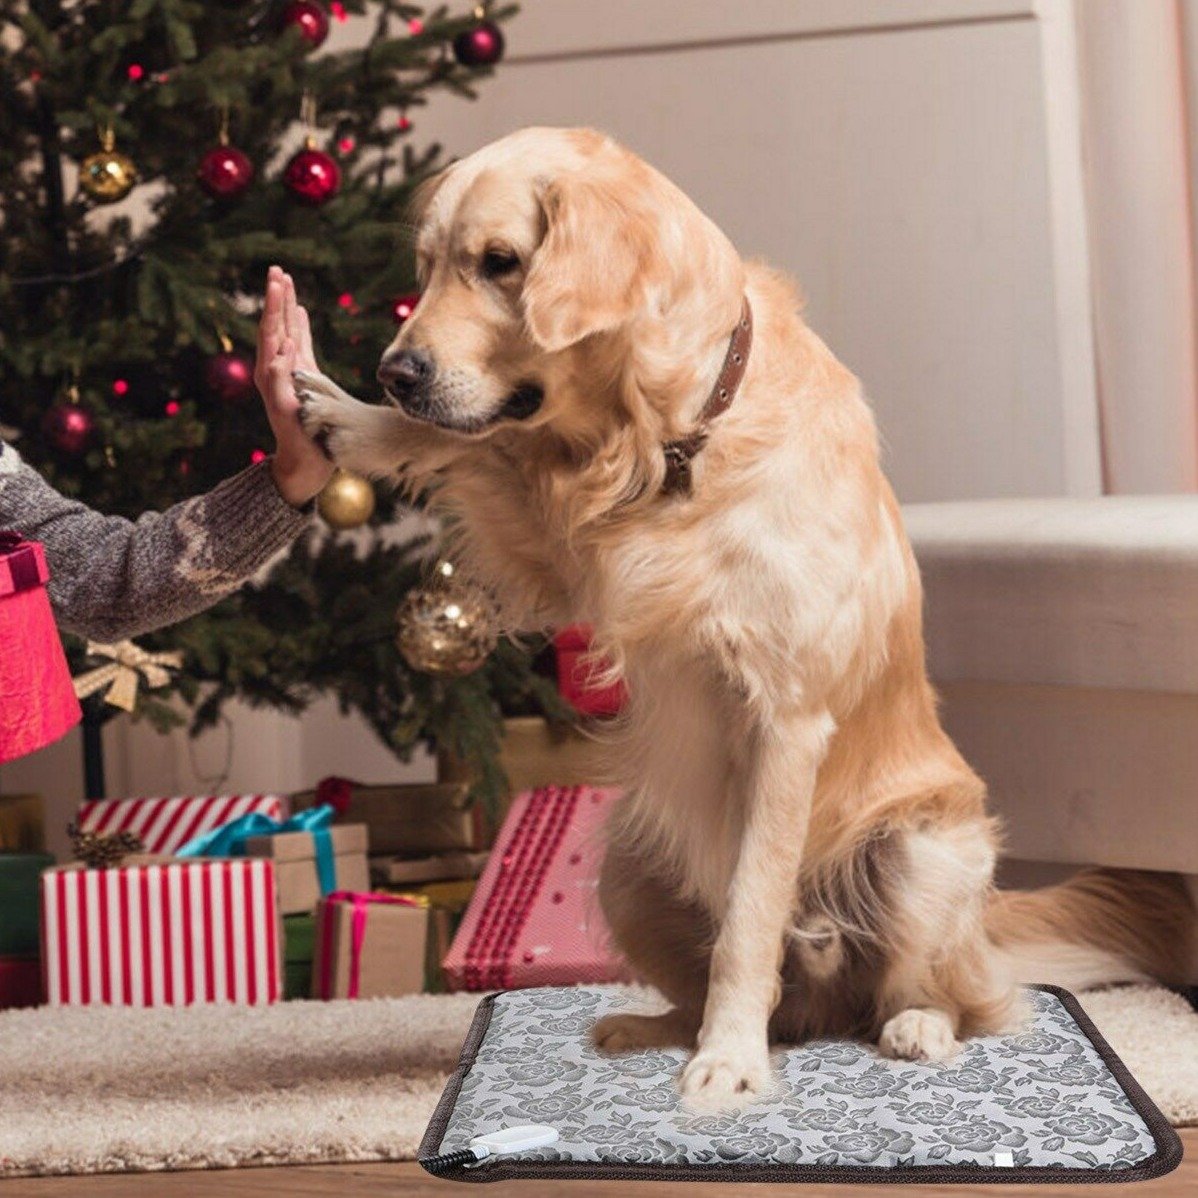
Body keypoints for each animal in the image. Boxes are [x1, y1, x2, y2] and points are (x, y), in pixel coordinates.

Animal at [294, 126, 1193, 1106]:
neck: (675, 437)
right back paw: (644, 1026)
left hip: (920, 855)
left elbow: (751, 920)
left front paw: (730, 1061)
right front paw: (353, 420)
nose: (394, 371)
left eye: (500, 262)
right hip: (629, 866)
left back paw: (914, 1027)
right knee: (754, 997)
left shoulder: (786, 719)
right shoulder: (570, 561)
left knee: (948, 997)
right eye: (423, 270)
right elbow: (474, 447)